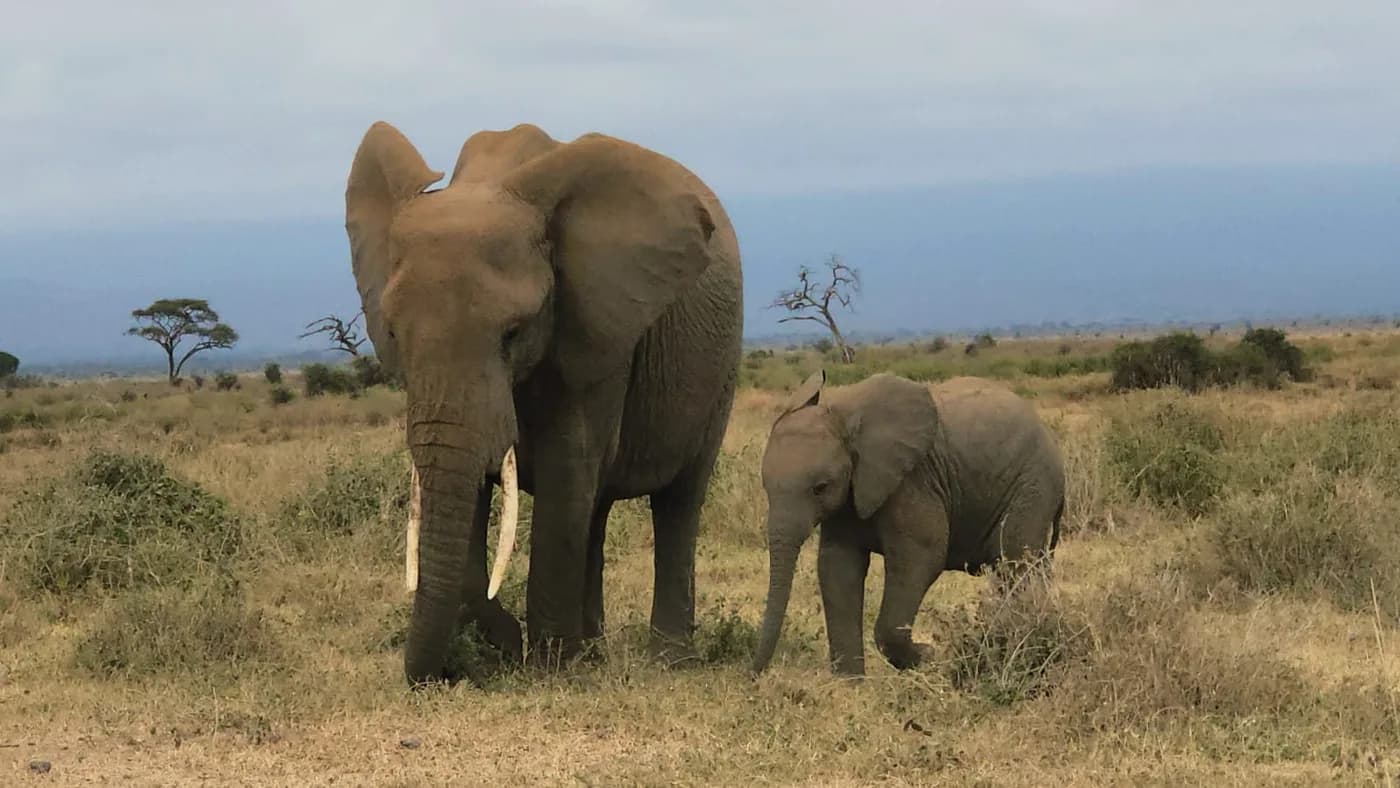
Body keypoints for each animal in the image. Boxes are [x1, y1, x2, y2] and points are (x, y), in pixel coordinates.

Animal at [345, 120, 743, 685]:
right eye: (395, 334)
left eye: (513, 332)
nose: (432, 676)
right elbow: (481, 486)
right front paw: (505, 646)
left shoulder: (593, 327)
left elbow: (565, 466)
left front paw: (549, 665)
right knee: (596, 508)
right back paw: (593, 649)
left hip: (720, 364)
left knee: (678, 500)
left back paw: (666, 660)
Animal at [750, 371, 1064, 676]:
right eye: (765, 487)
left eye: (820, 488)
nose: (754, 673)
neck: (844, 417)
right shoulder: (850, 495)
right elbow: (837, 567)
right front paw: (849, 683)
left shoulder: (914, 481)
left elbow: (920, 557)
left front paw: (930, 655)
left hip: (1032, 487)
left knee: (1017, 565)